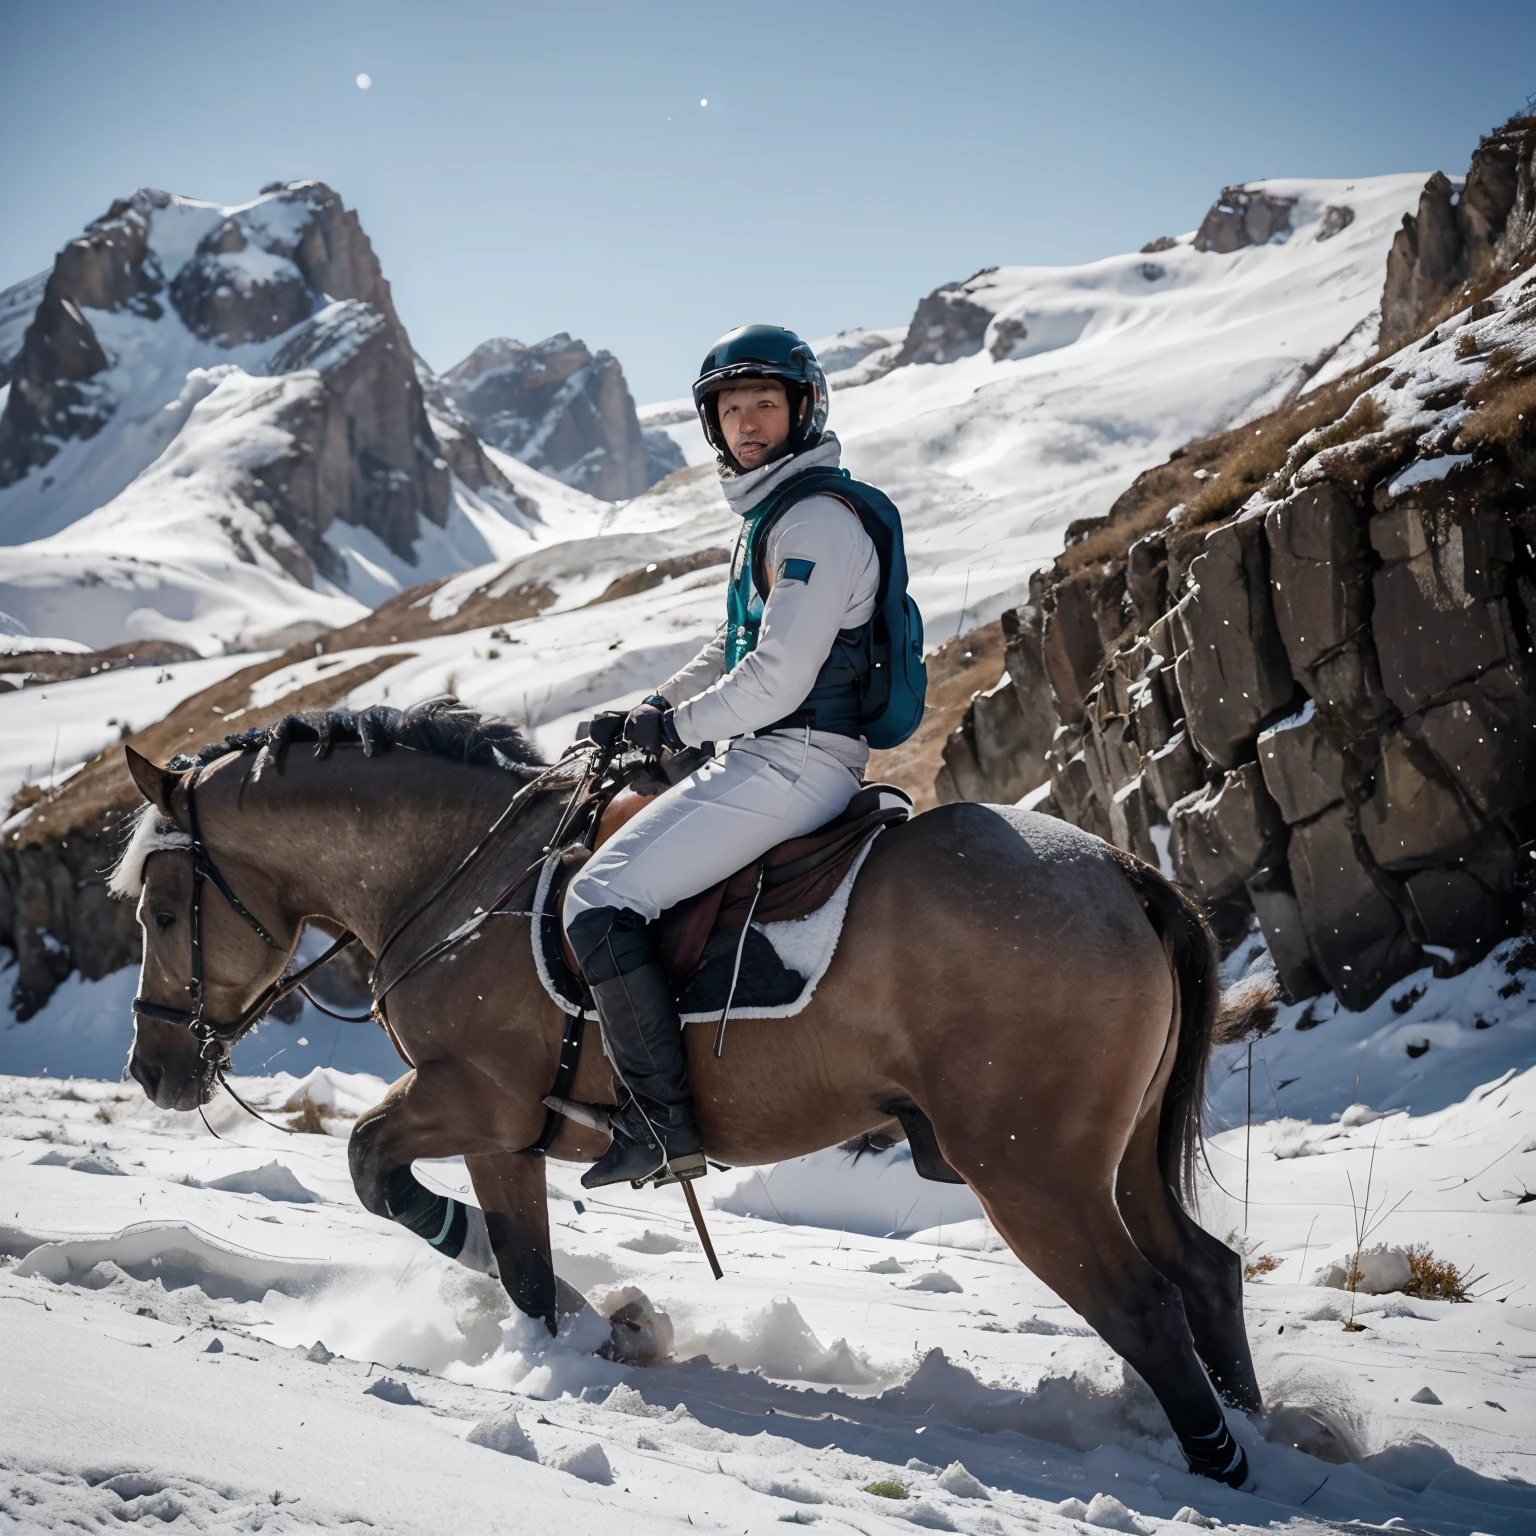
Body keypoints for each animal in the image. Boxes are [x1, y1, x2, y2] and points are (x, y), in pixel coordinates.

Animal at [116, 700, 1271, 1486]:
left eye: (163, 909)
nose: (151, 1068)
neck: (458, 878)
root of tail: (1119, 873)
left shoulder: (483, 1107)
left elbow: (394, 1182)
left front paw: (593, 1336)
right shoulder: (508, 1132)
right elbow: (503, 1254)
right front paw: (598, 1333)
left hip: (1033, 1175)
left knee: (1146, 1305)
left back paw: (1222, 1468)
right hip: (1114, 1163)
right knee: (1204, 1272)